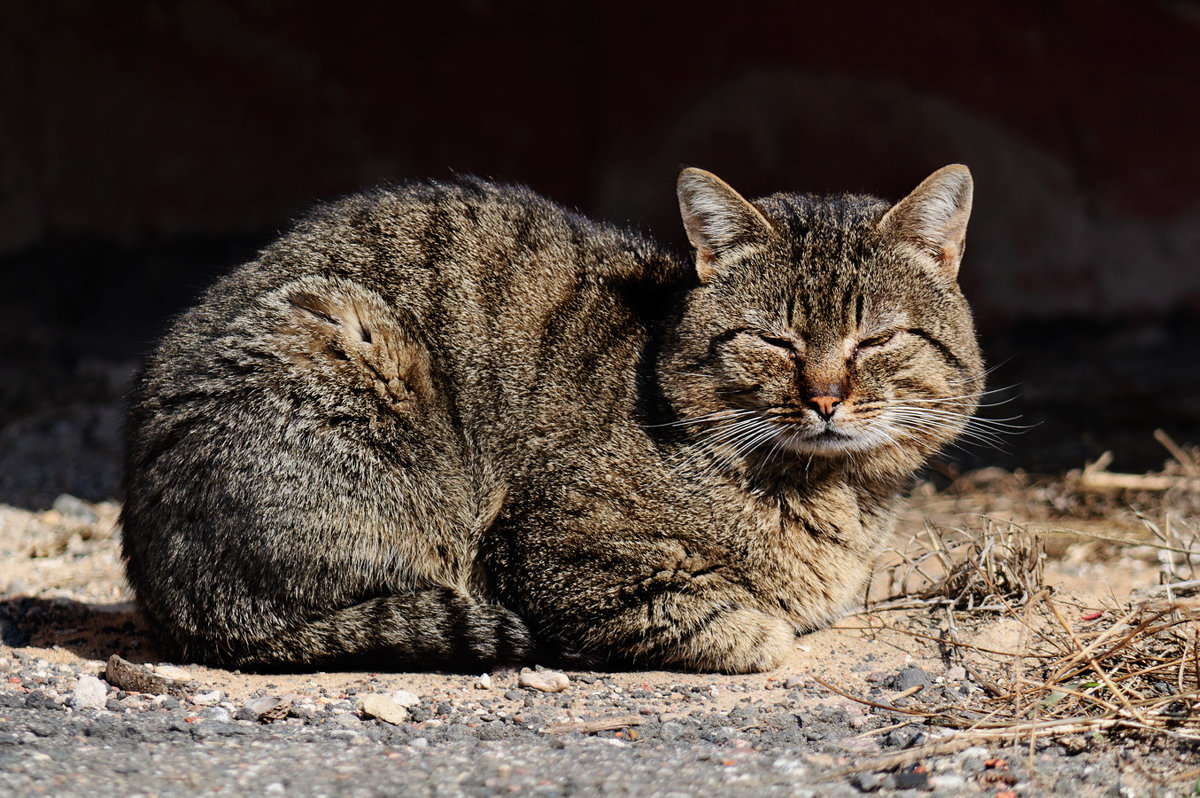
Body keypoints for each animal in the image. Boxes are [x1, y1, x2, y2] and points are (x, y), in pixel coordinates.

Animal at [121, 163, 984, 672]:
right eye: (776, 340)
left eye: (877, 338)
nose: (826, 398)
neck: (836, 494)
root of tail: (163, 597)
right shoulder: (557, 550)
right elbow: (717, 617)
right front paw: (758, 626)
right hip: (345, 348)